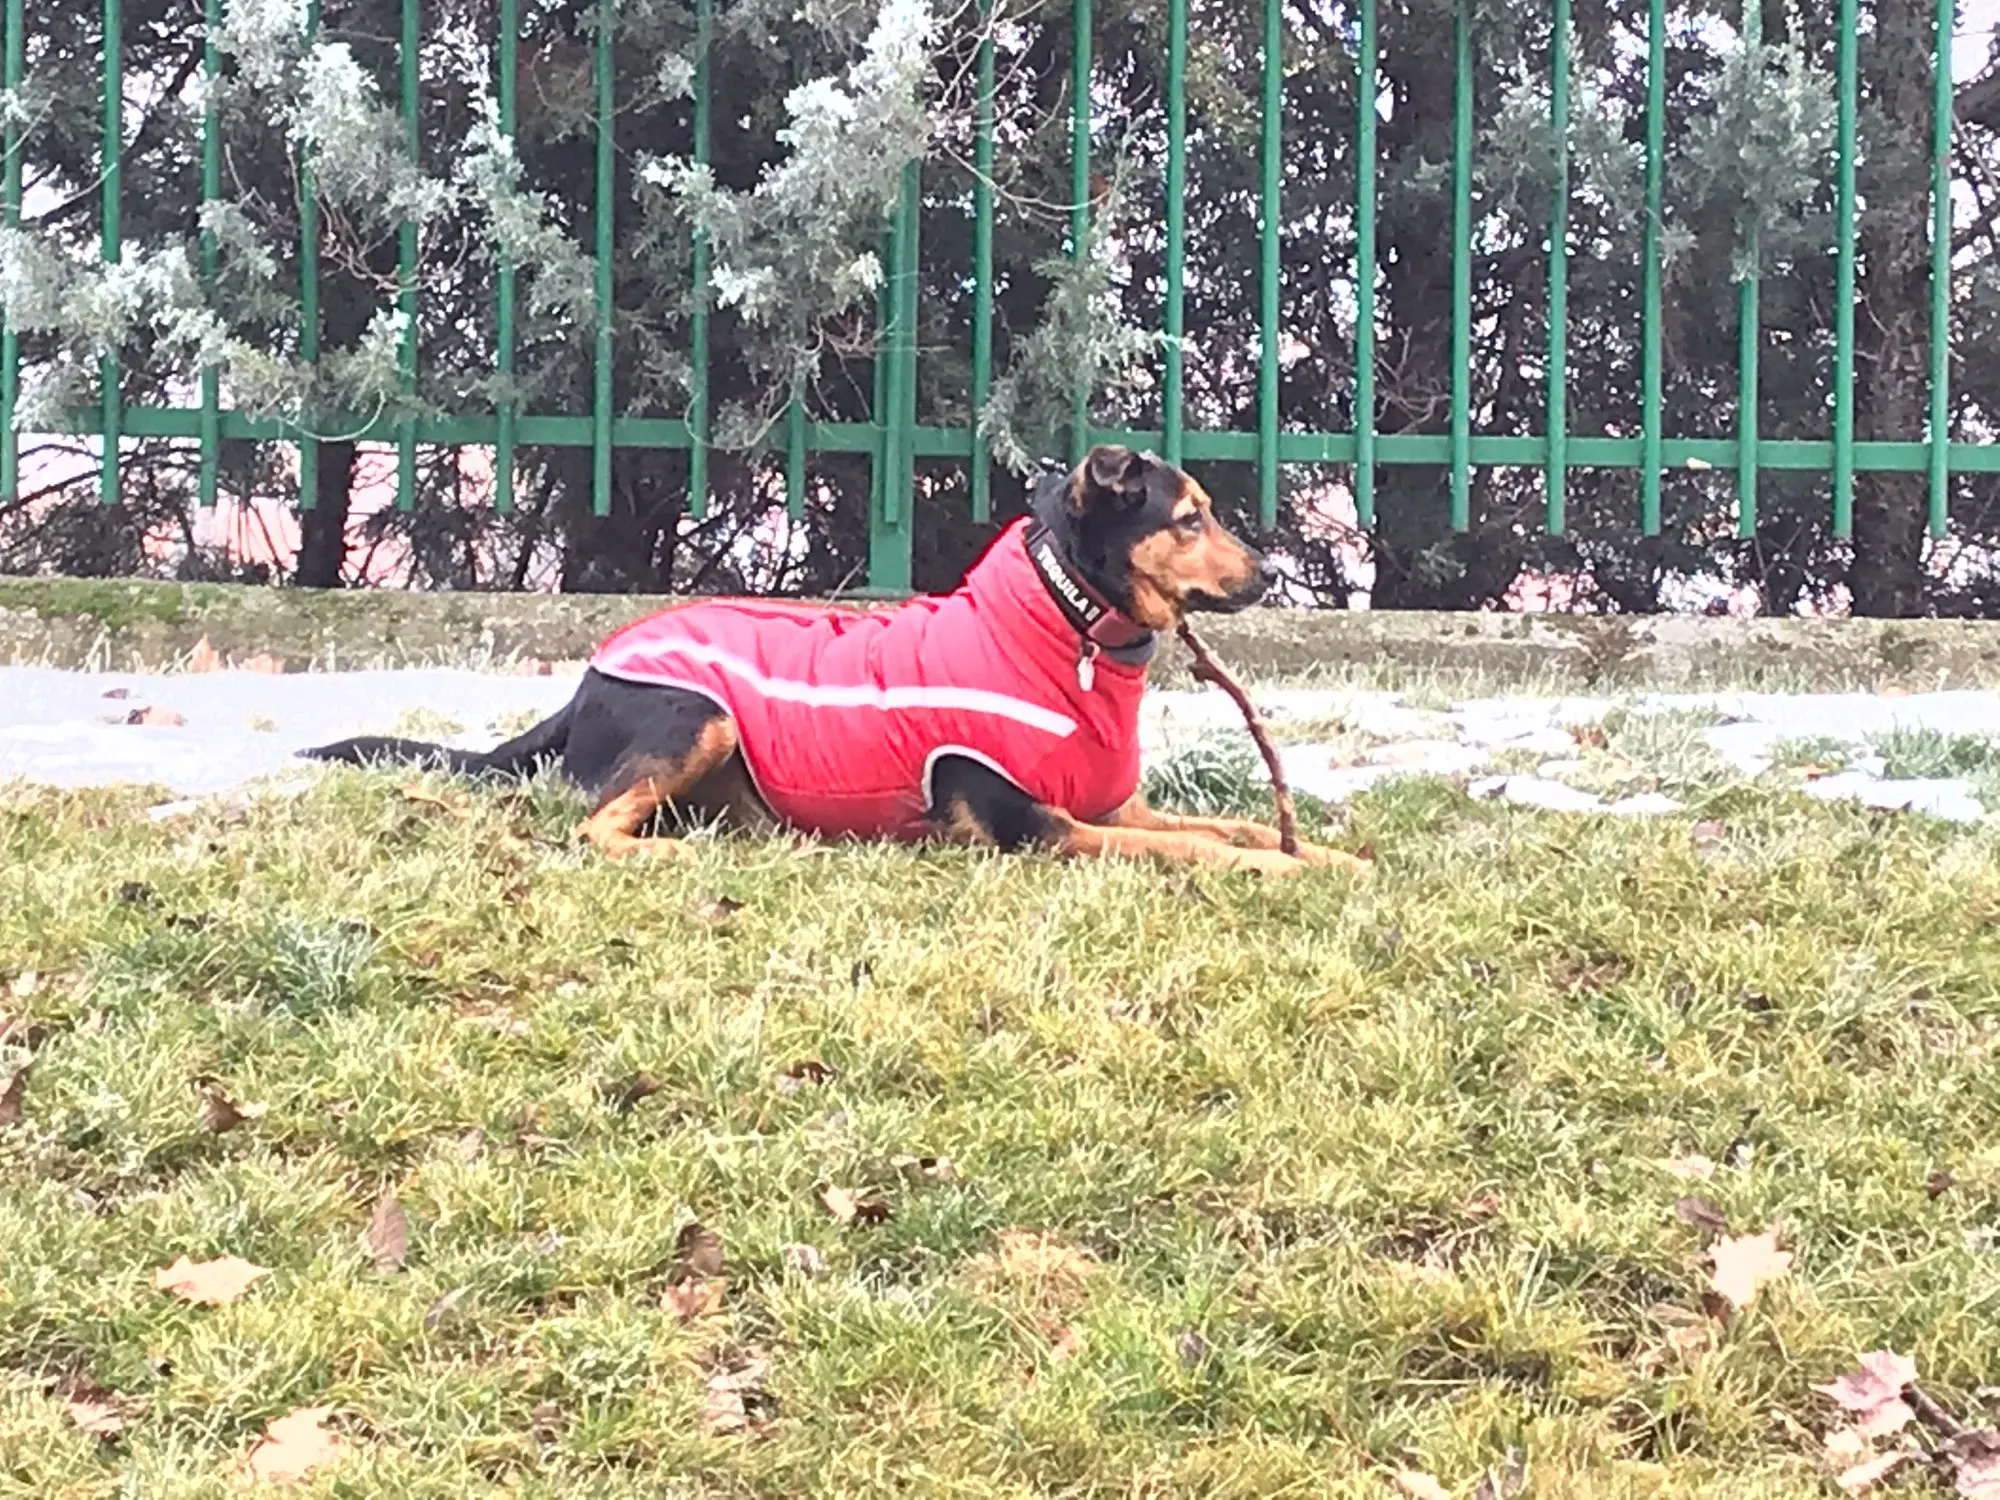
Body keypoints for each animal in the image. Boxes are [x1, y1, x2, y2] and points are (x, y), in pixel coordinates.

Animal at [304, 445, 1367, 878]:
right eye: (1188, 519)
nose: (1270, 572)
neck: (1064, 628)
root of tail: (586, 682)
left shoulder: (1112, 809)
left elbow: (1234, 823)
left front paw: (1328, 853)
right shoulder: (1043, 829)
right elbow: (1203, 847)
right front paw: (1284, 871)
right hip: (698, 716)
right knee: (594, 824)